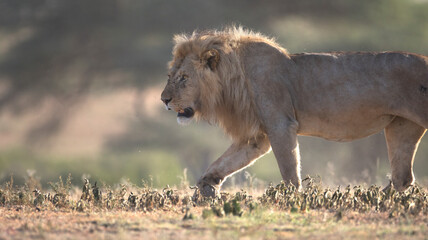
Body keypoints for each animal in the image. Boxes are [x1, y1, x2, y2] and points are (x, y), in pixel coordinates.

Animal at [160, 26, 428, 197]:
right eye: (170, 76)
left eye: (184, 78)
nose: (164, 100)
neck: (233, 79)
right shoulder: (257, 137)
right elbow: (223, 162)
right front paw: (206, 188)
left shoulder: (281, 124)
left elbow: (289, 169)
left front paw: (290, 199)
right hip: (402, 126)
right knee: (402, 178)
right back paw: (371, 199)